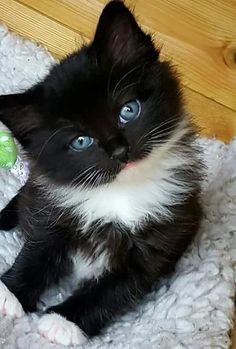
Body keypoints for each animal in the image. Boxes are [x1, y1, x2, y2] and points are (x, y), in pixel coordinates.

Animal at [0, 0, 202, 346]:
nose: (121, 152)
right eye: (81, 141)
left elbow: (113, 291)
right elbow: (35, 254)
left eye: (129, 111)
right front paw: (10, 294)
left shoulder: (160, 239)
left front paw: (63, 322)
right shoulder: (51, 210)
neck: (117, 193)